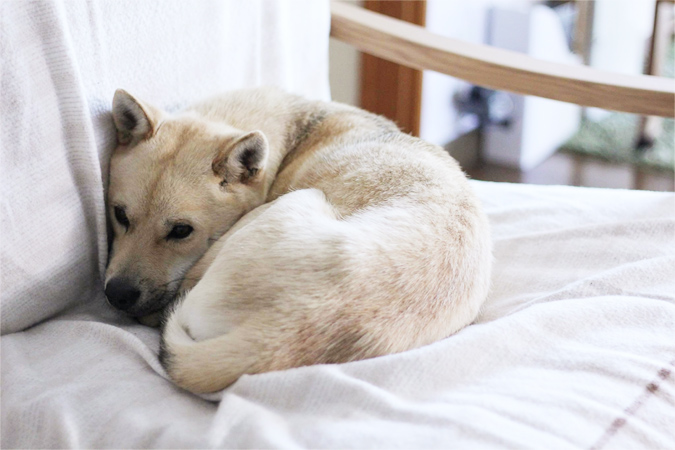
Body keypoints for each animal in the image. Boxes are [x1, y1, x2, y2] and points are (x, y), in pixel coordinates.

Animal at [107, 88, 496, 394]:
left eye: (181, 231)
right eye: (119, 215)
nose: (117, 295)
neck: (294, 133)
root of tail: (277, 335)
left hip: (295, 202)